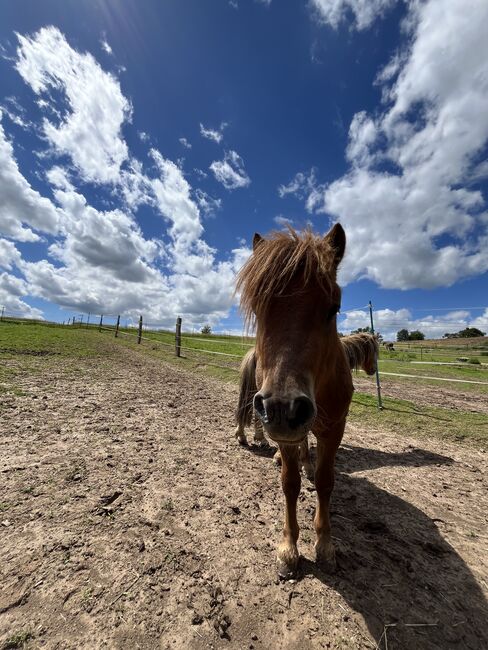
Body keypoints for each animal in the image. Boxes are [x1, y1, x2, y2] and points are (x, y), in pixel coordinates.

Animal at [233, 224, 354, 576]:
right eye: (258, 309)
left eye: (333, 308)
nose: (283, 409)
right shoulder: (282, 430)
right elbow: (289, 483)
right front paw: (289, 548)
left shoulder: (334, 429)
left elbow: (326, 482)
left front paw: (325, 544)